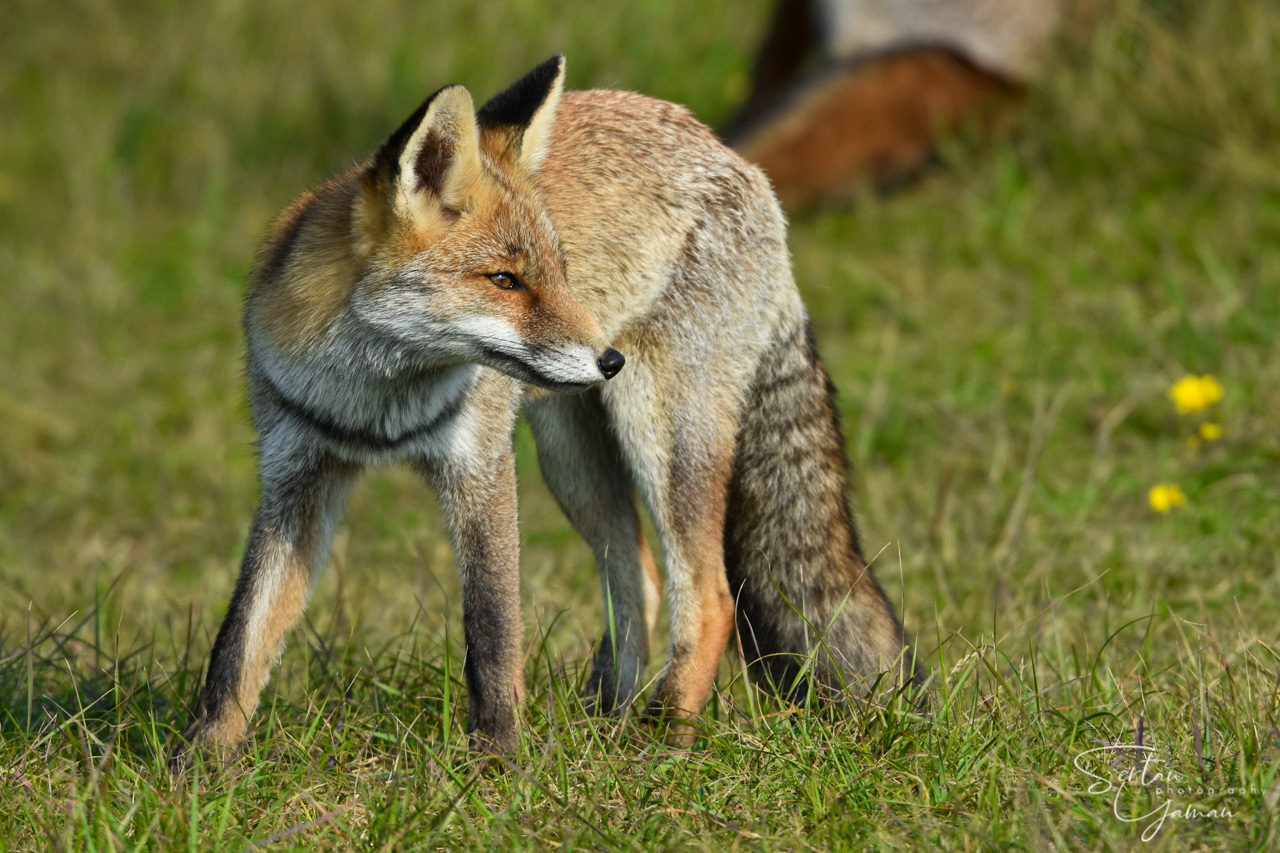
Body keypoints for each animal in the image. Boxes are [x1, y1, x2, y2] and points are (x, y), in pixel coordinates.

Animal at [172, 56, 916, 766]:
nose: (608, 359)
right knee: (640, 584)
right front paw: (200, 763)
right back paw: (600, 723)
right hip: (571, 458)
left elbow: (493, 633)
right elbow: (238, 641)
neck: (371, 408)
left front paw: (498, 761)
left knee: (709, 598)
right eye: (504, 279)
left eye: (559, 270)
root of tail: (732, 153)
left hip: (660, 436)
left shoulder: (480, 466)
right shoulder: (297, 474)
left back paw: (660, 740)